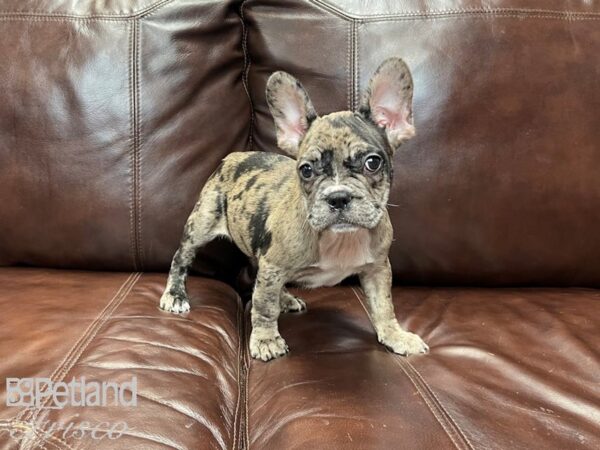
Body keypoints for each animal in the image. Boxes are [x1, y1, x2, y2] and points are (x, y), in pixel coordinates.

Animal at [161, 58, 426, 360]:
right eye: (306, 170)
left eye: (373, 162)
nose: (338, 197)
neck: (340, 238)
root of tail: (233, 156)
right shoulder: (274, 265)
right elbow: (263, 306)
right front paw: (266, 340)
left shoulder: (377, 268)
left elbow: (384, 305)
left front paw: (395, 335)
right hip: (202, 224)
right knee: (182, 258)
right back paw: (175, 295)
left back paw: (284, 298)